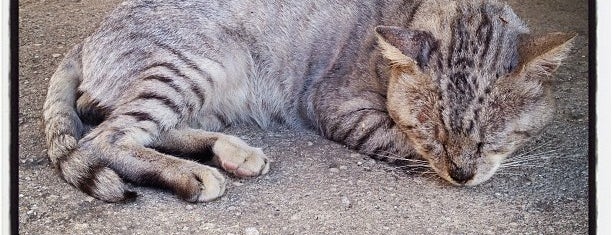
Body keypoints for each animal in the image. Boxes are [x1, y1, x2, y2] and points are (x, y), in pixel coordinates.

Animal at [41, 0, 572, 202]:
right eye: (433, 132)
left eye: (489, 139)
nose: (462, 173)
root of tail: (90, 36)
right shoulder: (336, 105)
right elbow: (399, 141)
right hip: (192, 65)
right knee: (105, 136)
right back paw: (192, 174)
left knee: (135, 125)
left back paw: (230, 152)